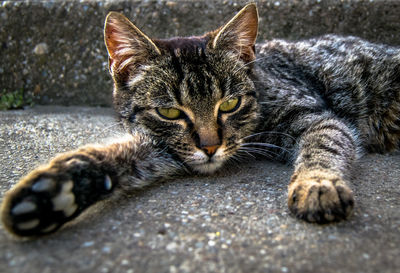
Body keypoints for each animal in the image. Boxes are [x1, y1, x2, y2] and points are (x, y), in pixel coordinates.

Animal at [0, 2, 400, 236]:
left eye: (230, 104)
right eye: (170, 112)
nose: (210, 147)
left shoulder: (316, 117)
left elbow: (323, 147)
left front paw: (318, 185)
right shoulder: (166, 147)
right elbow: (123, 153)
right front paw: (55, 190)